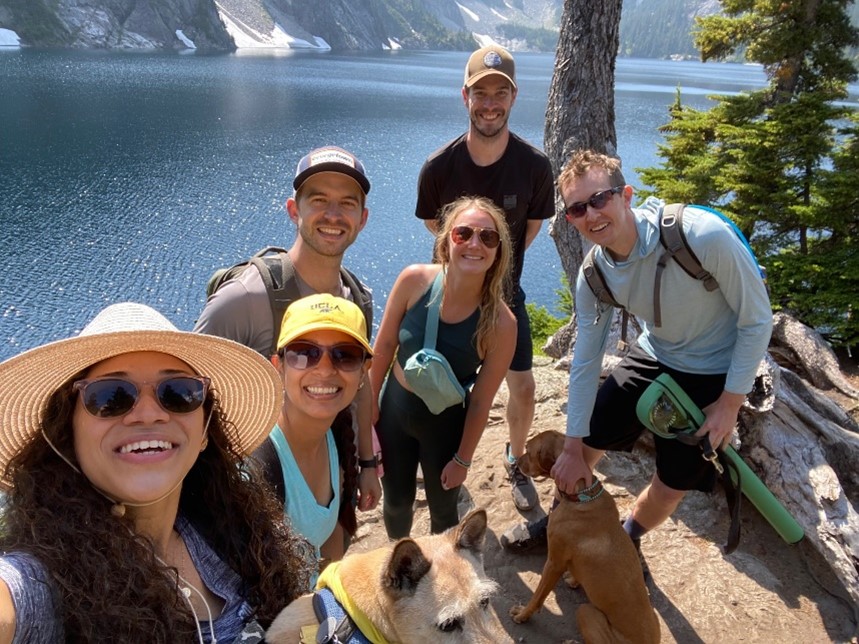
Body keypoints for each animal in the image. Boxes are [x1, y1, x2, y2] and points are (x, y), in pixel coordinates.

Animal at [510, 428, 660, 644]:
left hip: (586, 612)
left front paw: (523, 614)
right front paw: (574, 579)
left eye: (529, 451)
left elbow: (537, 597)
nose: (516, 464)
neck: (582, 497)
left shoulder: (553, 563)